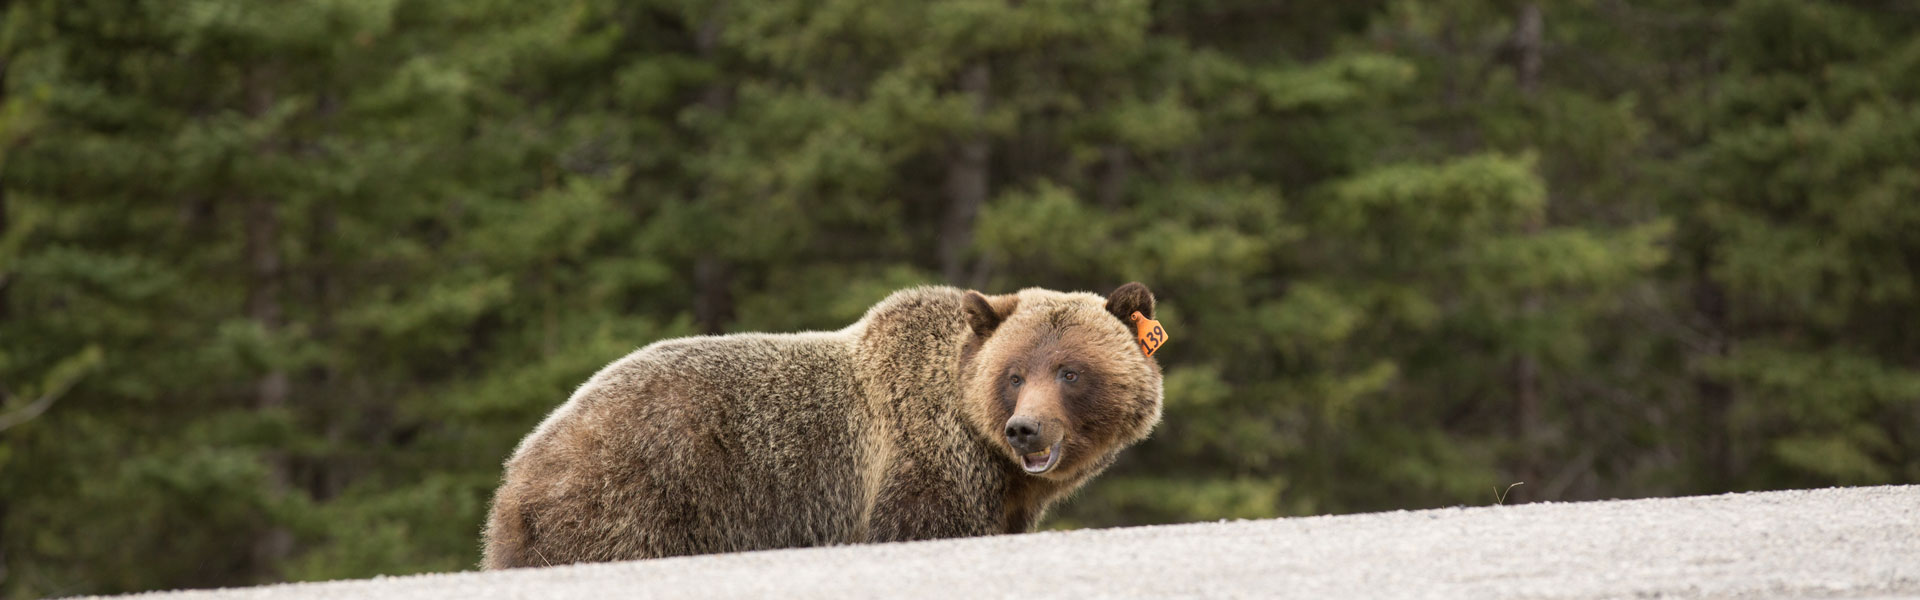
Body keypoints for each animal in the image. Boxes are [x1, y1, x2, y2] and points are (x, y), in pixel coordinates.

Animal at [480, 280, 1167, 565]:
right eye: (1016, 374)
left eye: (1069, 372)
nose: (1026, 429)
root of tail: (518, 468)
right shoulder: (917, 471)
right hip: (634, 495)